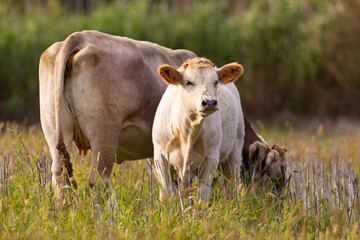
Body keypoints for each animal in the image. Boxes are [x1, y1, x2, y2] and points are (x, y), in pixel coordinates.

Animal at [152, 57, 245, 200]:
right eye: (188, 82)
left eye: (215, 81)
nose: (210, 102)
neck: (188, 131)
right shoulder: (160, 157)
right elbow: (168, 193)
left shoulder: (211, 157)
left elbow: (202, 193)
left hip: (235, 149)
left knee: (232, 181)